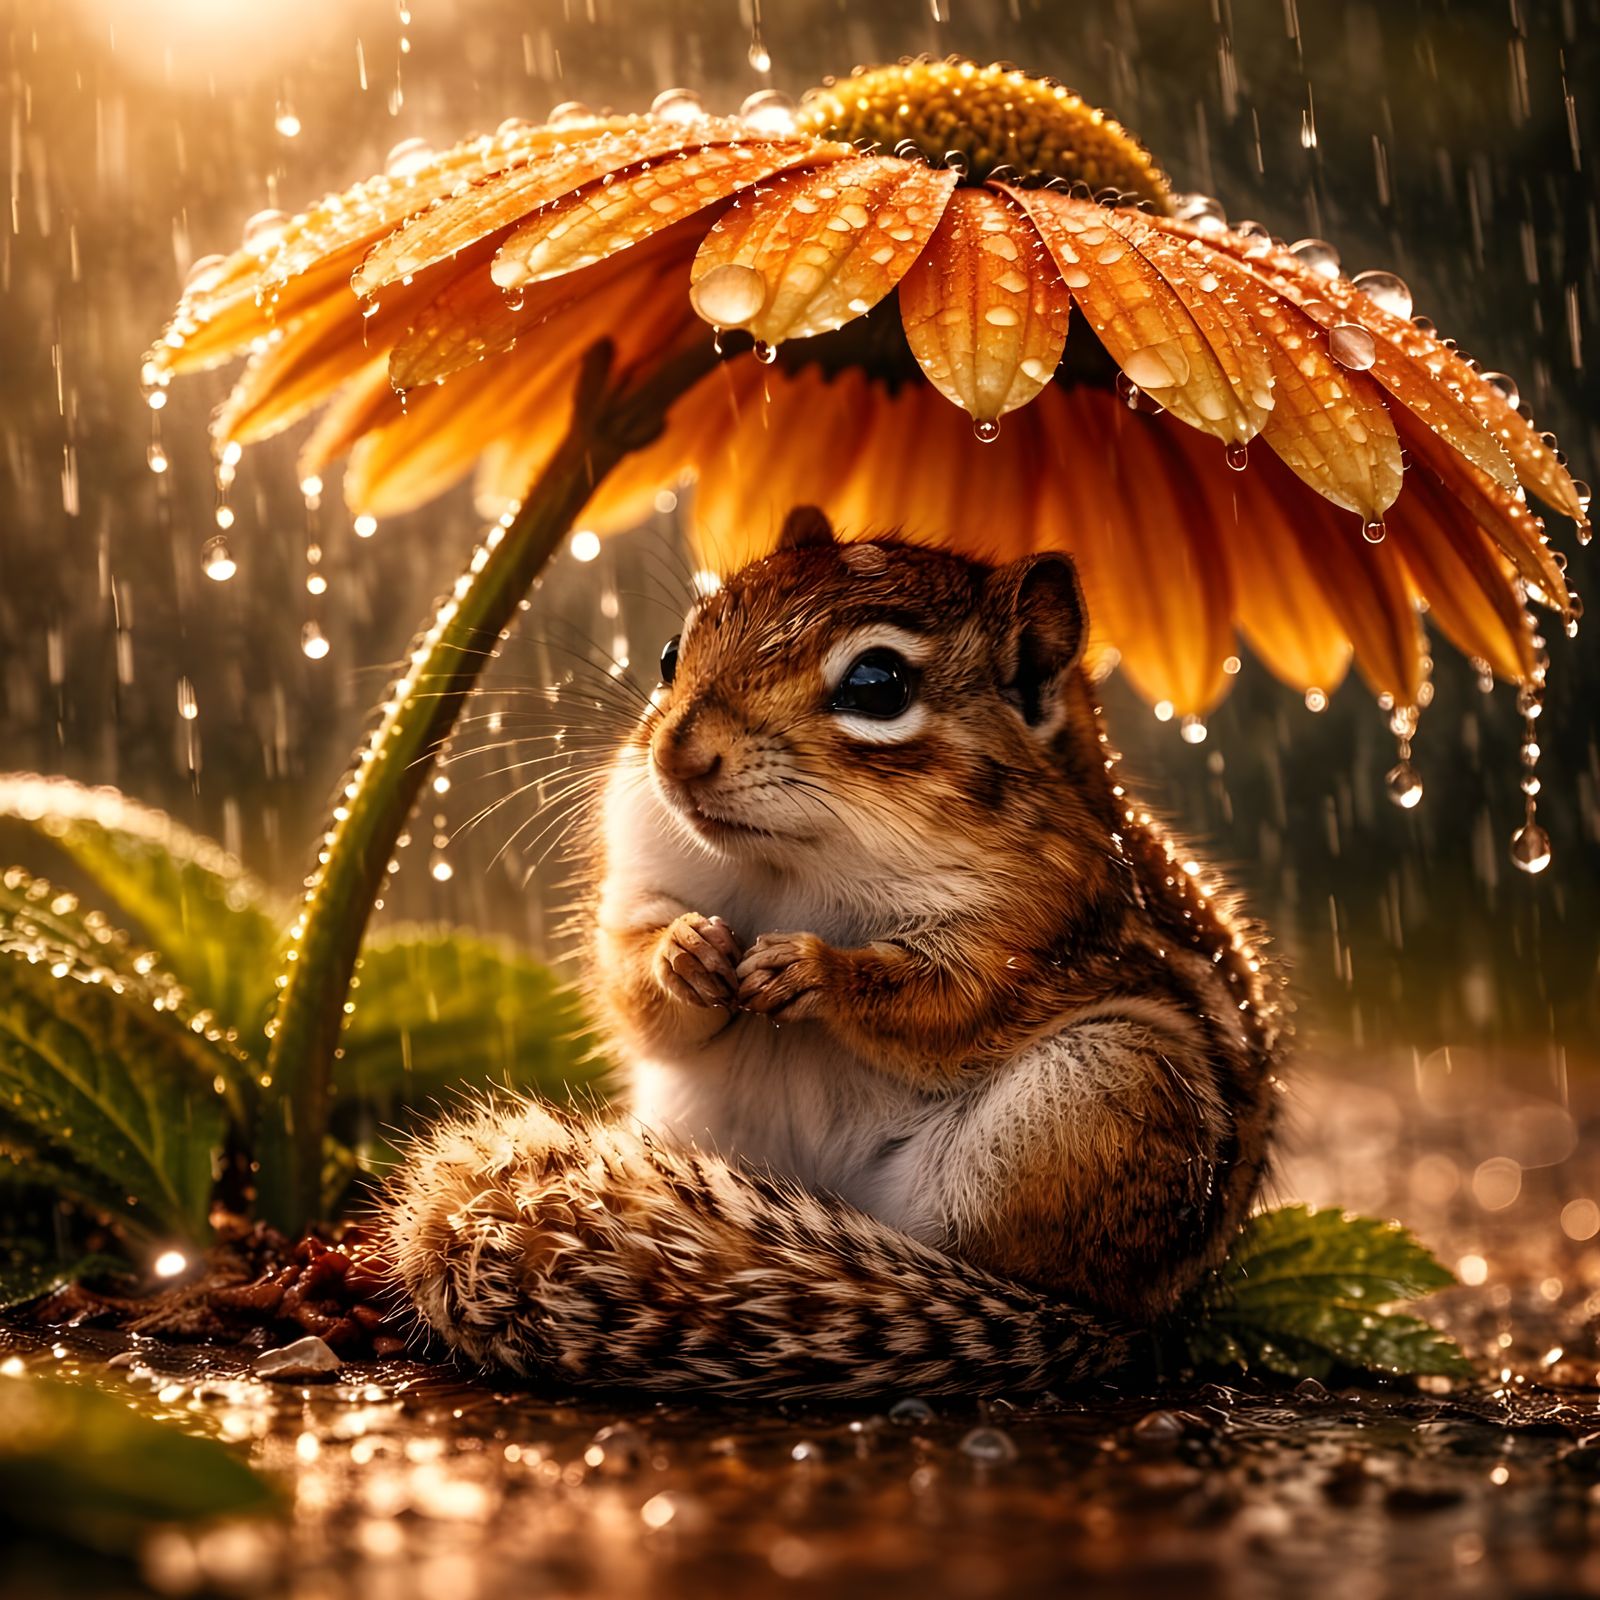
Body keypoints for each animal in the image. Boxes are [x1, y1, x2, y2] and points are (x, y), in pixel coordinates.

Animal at [382, 507, 1286, 1398]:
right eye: (673, 653)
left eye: (877, 686)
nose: (678, 754)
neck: (797, 864)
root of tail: (1145, 1324)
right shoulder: (639, 887)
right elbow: (632, 987)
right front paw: (685, 954)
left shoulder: (1029, 936)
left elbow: (937, 1002)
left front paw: (812, 970)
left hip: (1104, 1093)